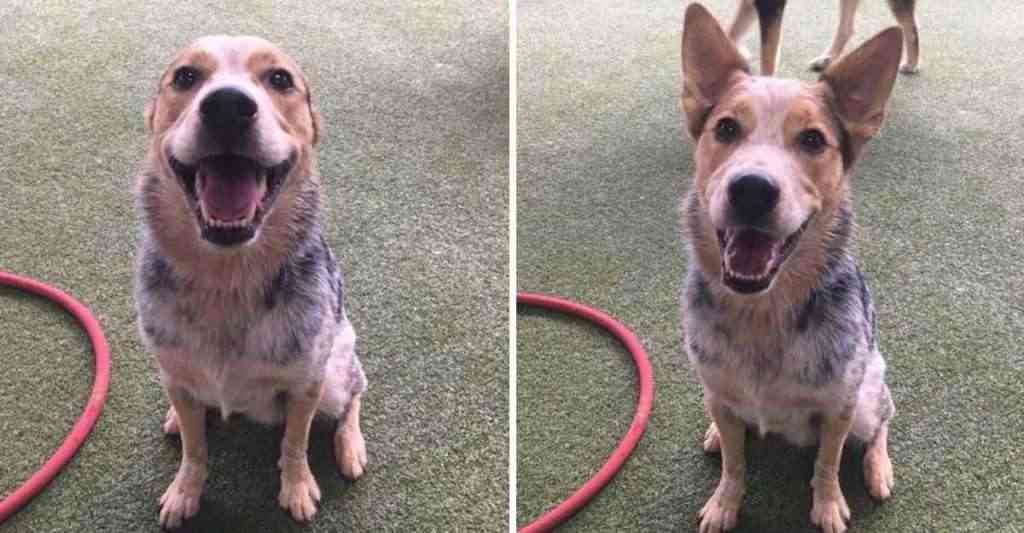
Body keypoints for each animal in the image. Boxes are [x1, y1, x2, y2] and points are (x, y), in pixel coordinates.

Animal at [134, 36, 368, 528]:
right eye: (185, 76)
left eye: (279, 79)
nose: (227, 105)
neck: (227, 279)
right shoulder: (176, 375)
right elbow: (195, 450)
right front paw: (185, 491)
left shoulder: (306, 383)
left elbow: (295, 444)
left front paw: (297, 488)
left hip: (335, 375)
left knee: (357, 392)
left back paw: (351, 446)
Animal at [680, 4, 902, 532]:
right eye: (726, 129)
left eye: (813, 139)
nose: (752, 188)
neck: (763, 313)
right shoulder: (719, 393)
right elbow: (735, 464)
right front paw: (725, 502)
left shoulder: (840, 407)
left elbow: (826, 462)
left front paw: (828, 505)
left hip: (868, 397)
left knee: (885, 419)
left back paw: (878, 468)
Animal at [725, 0, 919, 76]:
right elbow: (730, 33)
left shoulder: (770, 4)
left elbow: (768, 60)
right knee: (847, 28)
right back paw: (828, 59)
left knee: (911, 28)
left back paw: (912, 64)